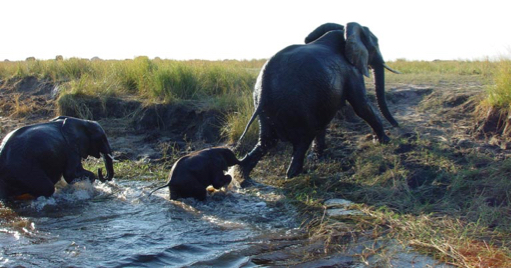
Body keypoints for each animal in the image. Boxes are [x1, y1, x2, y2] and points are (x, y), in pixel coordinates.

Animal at [238, 21, 402, 180]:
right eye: (376, 45)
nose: (396, 126)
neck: (344, 33)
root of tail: (264, 89)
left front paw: (317, 157)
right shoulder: (351, 71)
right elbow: (361, 106)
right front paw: (386, 141)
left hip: (264, 106)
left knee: (267, 141)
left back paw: (243, 177)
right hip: (297, 106)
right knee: (303, 139)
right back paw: (294, 175)